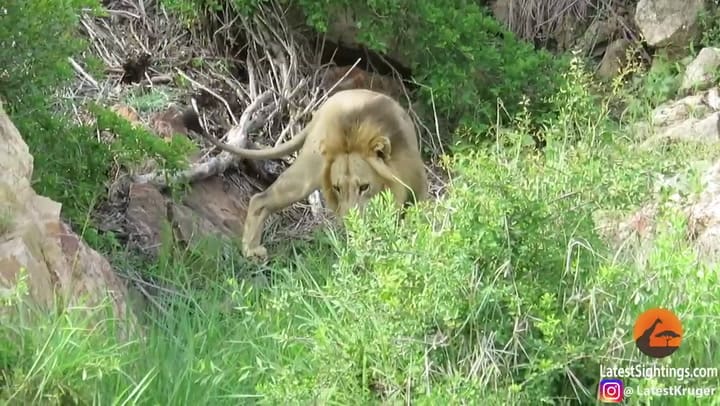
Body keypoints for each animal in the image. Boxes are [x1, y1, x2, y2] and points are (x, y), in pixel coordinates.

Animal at [189, 88, 428, 258]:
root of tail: (326, 104)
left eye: (364, 187)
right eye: (338, 188)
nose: (348, 222)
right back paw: (251, 251)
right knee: (259, 198)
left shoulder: (418, 191)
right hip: (307, 172)